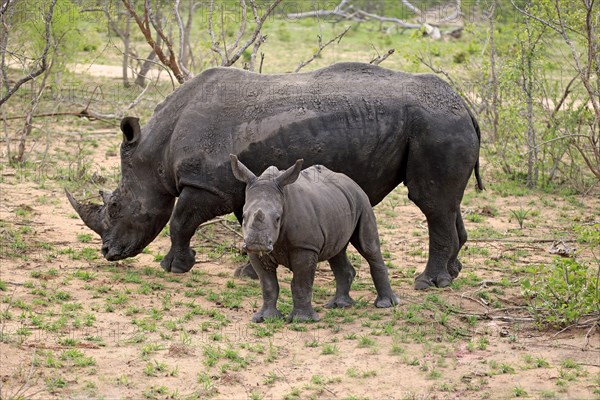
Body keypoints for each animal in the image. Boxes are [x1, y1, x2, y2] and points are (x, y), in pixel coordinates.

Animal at [230, 155, 398, 324]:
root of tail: (351, 181)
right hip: (338, 204)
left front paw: (302, 320)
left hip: (362, 201)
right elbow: (268, 285)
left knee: (368, 247)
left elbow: (301, 283)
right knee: (336, 252)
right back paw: (339, 305)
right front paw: (265, 318)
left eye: (277, 219)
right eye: (243, 216)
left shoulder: (305, 247)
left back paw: (386, 304)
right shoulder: (256, 253)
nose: (256, 243)